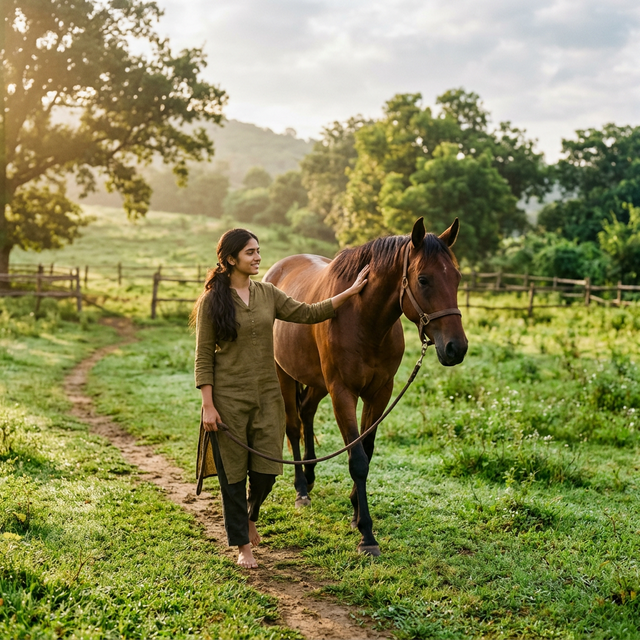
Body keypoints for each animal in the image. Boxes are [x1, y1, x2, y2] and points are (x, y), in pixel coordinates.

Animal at [263, 217, 468, 556]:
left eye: (457, 278)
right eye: (423, 280)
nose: (456, 348)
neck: (363, 320)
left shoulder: (379, 393)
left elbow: (367, 451)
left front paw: (355, 510)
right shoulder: (343, 393)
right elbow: (357, 460)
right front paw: (366, 534)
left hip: (317, 383)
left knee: (306, 414)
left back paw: (310, 475)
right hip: (285, 375)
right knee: (293, 426)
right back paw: (301, 489)